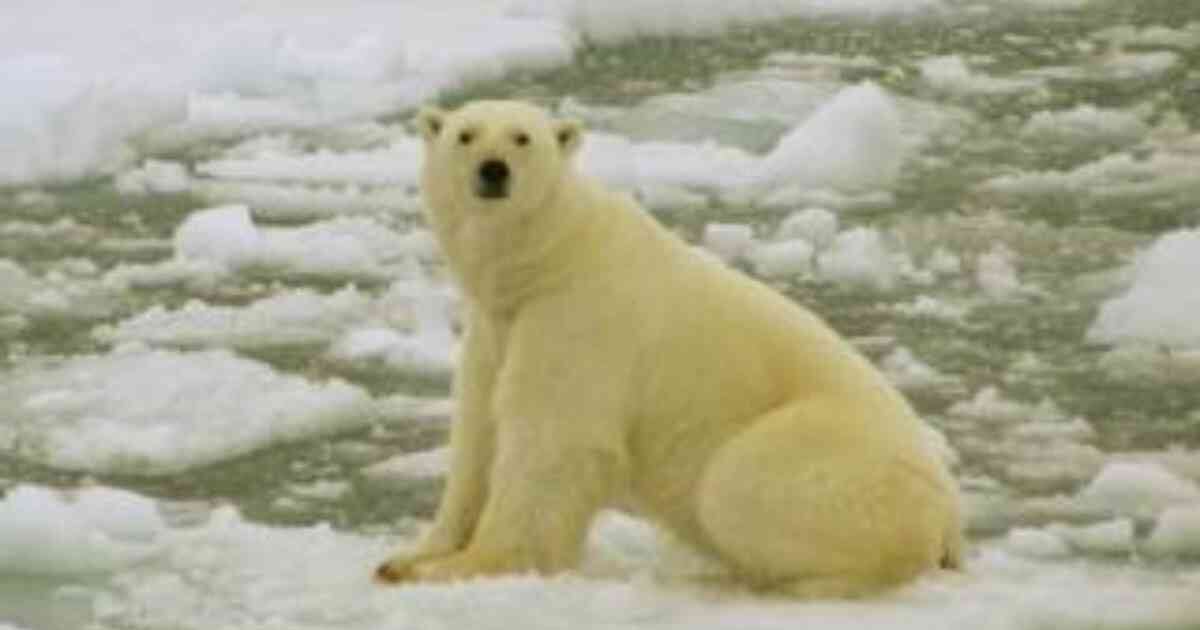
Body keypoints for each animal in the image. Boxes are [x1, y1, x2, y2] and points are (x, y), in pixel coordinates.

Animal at [374, 100, 964, 598]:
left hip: (839, 458)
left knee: (738, 482)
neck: (549, 259)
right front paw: (409, 556)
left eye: (523, 137)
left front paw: (466, 565)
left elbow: (550, 442)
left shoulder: (578, 320)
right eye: (465, 134)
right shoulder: (497, 328)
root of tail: (951, 517)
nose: (493, 169)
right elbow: (479, 431)